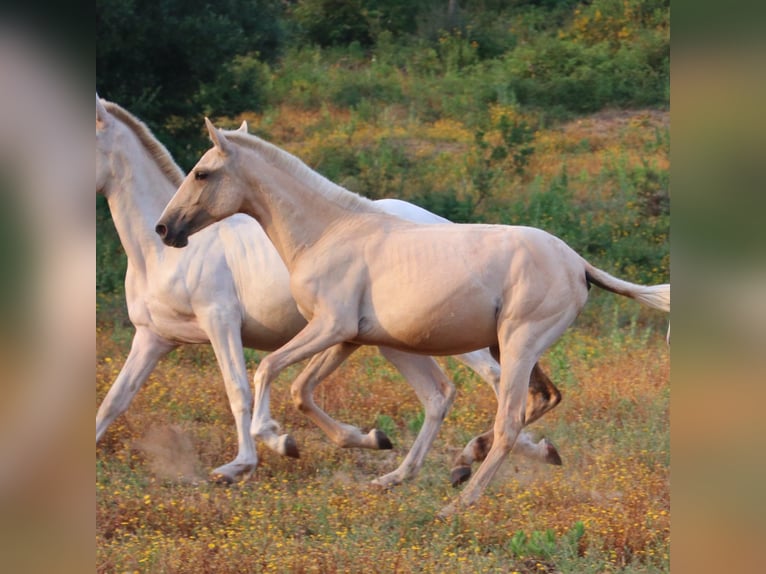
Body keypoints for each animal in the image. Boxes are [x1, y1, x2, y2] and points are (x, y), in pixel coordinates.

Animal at [96, 98, 563, 487]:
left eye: (202, 173)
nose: (165, 229)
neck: (158, 258)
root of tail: (439, 222)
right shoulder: (153, 338)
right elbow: (113, 403)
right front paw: (367, 438)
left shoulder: (220, 320)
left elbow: (239, 389)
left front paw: (248, 461)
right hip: (398, 341)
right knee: (451, 393)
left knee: (496, 379)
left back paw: (493, 454)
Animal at [155, 119, 670, 517]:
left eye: (202, 173)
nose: (165, 228)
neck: (328, 232)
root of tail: (579, 264)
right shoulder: (350, 338)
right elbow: (302, 391)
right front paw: (368, 439)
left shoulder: (331, 326)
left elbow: (266, 369)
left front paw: (274, 443)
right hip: (472, 345)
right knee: (524, 399)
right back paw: (432, 468)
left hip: (518, 343)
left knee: (508, 420)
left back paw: (457, 503)